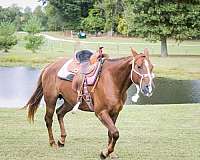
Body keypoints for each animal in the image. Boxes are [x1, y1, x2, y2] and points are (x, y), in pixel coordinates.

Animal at [25, 47, 155, 159]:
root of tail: (50, 65)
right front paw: (104, 153)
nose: (148, 88)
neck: (112, 80)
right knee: (48, 119)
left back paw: (62, 140)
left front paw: (110, 153)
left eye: (152, 67)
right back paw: (52, 143)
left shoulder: (115, 113)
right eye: (138, 66)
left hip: (69, 102)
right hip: (51, 100)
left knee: (60, 113)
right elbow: (115, 133)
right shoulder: (101, 112)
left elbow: (111, 133)